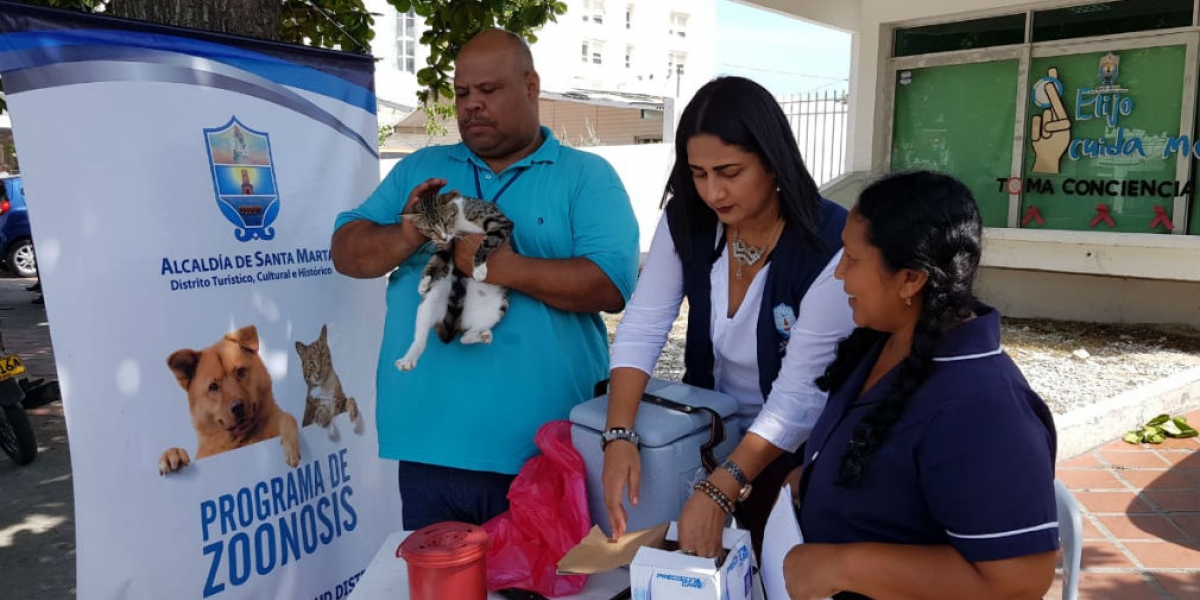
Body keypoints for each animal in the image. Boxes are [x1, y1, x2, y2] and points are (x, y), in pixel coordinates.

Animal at [396, 190, 513, 369]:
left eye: (445, 221)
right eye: (428, 229)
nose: (443, 237)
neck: (458, 221)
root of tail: (462, 321)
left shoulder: (499, 221)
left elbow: (488, 241)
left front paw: (479, 267)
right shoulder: (445, 245)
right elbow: (438, 258)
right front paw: (425, 280)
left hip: (499, 305)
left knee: (465, 337)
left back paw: (480, 335)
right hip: (431, 300)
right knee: (424, 336)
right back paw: (408, 359)